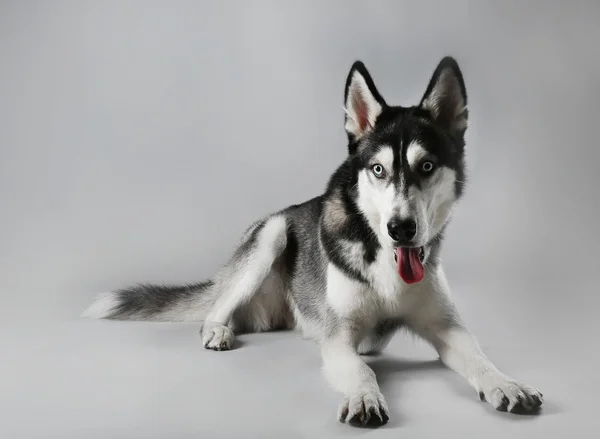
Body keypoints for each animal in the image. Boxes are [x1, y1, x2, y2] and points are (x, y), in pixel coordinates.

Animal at [83, 57, 544, 426]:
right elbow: (362, 370)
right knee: (216, 307)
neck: (384, 261)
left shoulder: (448, 329)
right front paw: (364, 397)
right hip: (270, 235)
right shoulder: (338, 340)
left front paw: (507, 384)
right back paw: (217, 330)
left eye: (427, 166)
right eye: (378, 170)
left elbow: (479, 358)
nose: (401, 228)